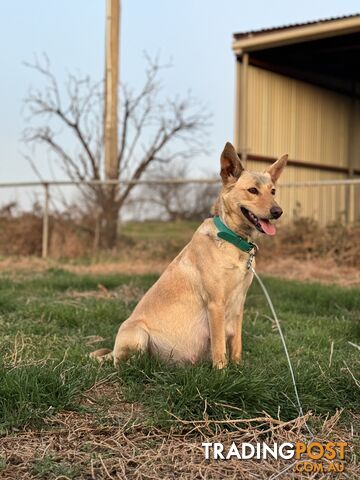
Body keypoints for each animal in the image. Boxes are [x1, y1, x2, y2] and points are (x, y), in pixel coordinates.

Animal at [91, 142, 288, 368]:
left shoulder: (239, 305)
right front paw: (222, 372)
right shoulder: (216, 304)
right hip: (137, 335)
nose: (278, 212)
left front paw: (238, 367)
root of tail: (113, 351)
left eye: (273, 191)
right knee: (124, 363)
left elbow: (236, 343)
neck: (233, 239)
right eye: (252, 190)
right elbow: (219, 346)